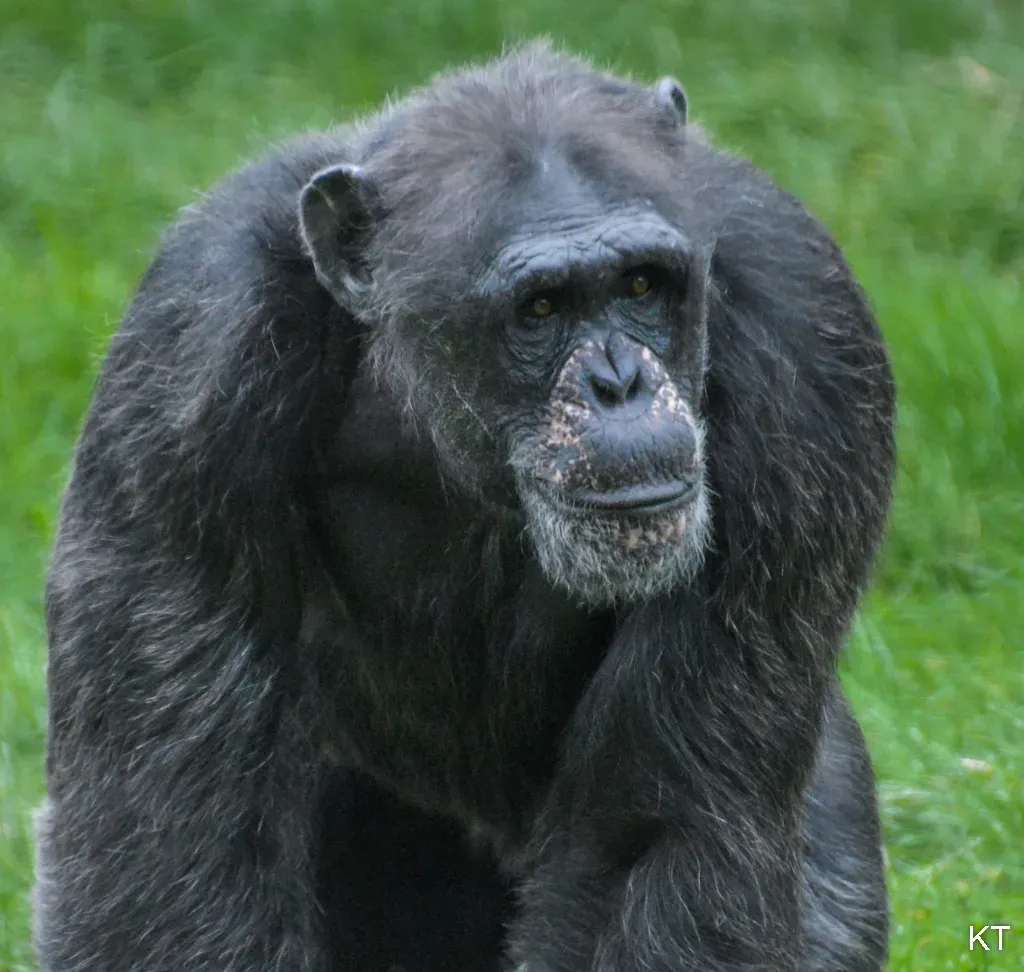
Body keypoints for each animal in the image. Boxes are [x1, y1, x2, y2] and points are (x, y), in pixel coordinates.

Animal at [35, 41, 895, 972]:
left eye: (640, 286)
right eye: (541, 307)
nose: (618, 382)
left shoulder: (806, 351)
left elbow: (652, 832)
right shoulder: (187, 369)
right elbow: (170, 826)